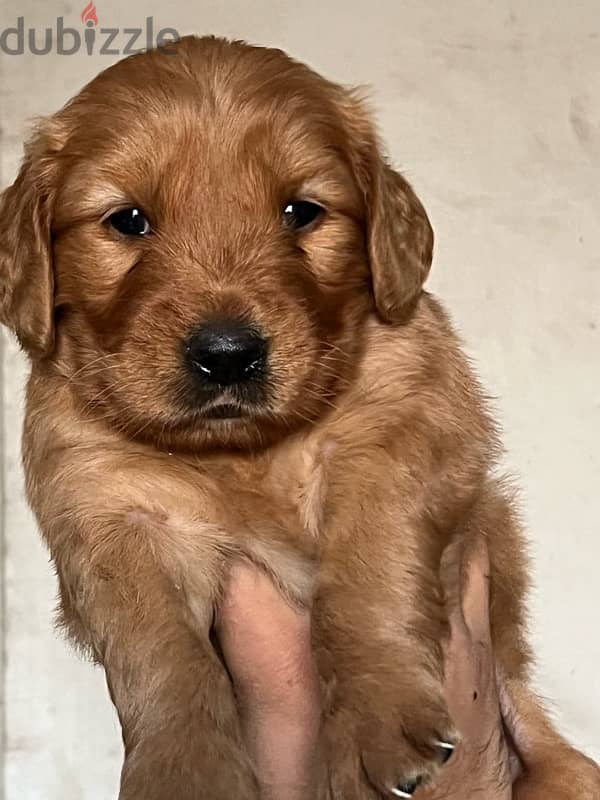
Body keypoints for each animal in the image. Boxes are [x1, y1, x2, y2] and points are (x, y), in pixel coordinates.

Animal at [0, 34, 596, 796]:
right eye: (128, 220)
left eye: (301, 212)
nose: (227, 355)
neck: (249, 455)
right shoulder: (110, 513)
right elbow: (159, 657)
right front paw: (185, 771)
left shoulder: (407, 428)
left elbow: (370, 571)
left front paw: (377, 715)